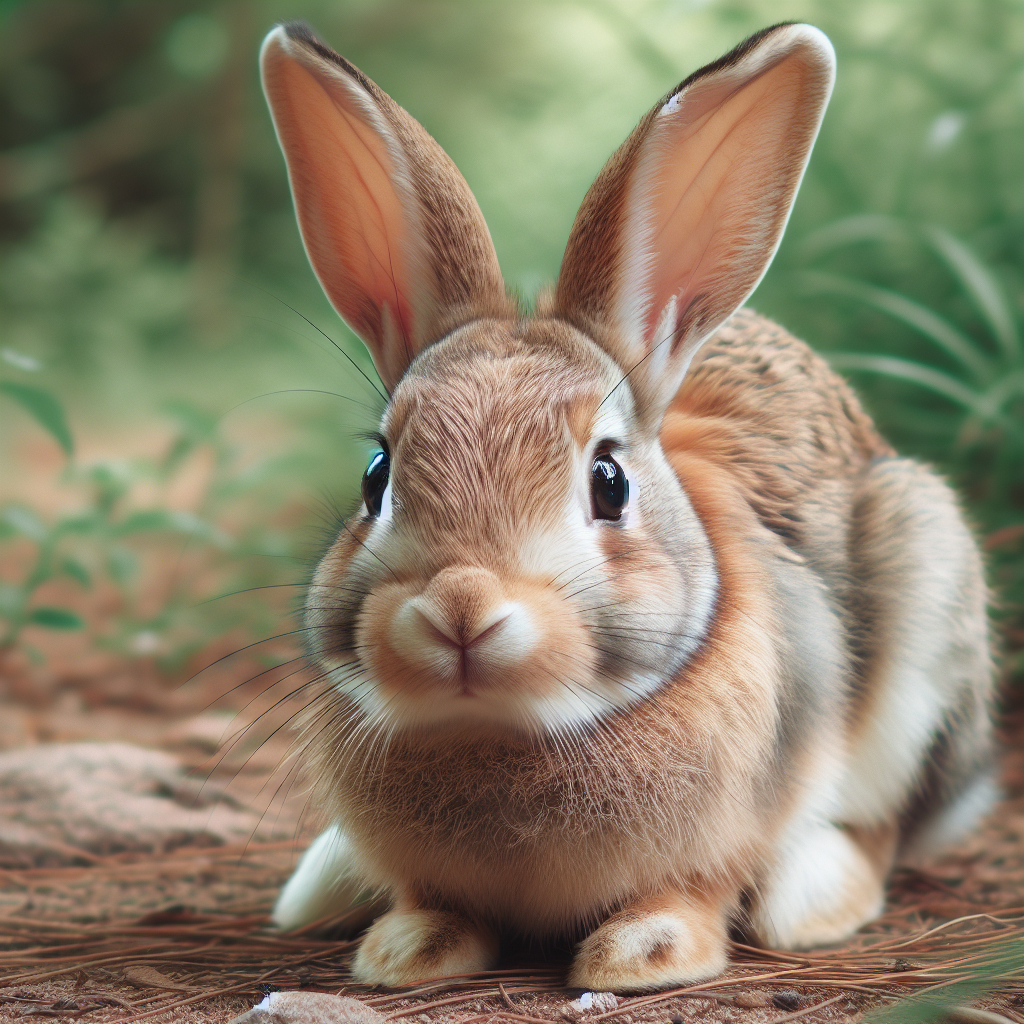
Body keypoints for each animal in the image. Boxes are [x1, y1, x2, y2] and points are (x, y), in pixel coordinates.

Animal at [258, 19, 999, 987]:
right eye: (377, 476)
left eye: (608, 481)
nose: (460, 607)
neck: (506, 733)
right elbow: (435, 903)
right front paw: (406, 950)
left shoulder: (726, 835)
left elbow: (693, 894)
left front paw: (640, 956)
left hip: (924, 600)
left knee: (880, 825)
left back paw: (812, 898)